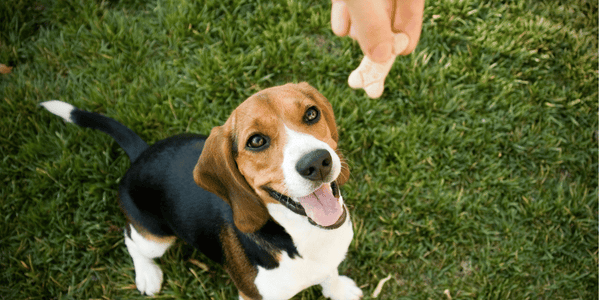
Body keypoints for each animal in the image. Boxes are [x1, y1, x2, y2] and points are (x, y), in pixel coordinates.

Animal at [41, 82, 366, 300]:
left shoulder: (329, 259)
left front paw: (339, 290)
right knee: (131, 239)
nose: (317, 162)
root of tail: (141, 154)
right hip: (155, 238)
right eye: (256, 141)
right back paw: (147, 274)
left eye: (311, 114)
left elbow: (330, 273)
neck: (302, 234)